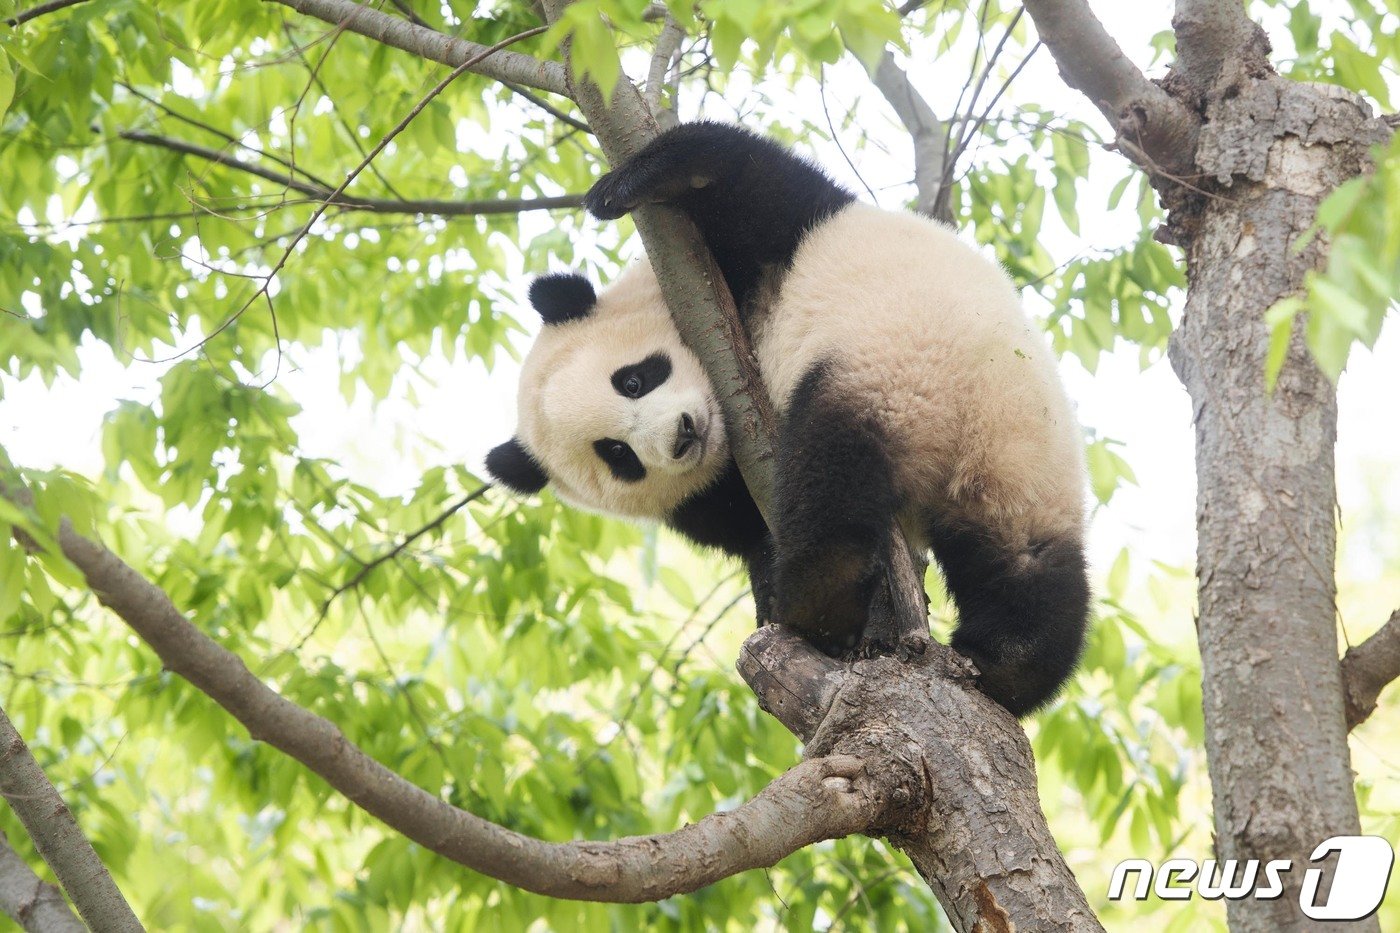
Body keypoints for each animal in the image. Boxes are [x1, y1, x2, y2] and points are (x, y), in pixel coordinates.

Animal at [492, 119, 1092, 708]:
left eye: (633, 380)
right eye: (617, 454)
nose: (682, 437)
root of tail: (946, 439)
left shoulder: (755, 247)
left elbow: (748, 180)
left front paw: (624, 185)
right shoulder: (711, 492)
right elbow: (749, 527)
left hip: (912, 382)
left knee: (830, 477)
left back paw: (824, 604)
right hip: (1000, 453)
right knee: (1021, 562)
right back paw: (1003, 657)